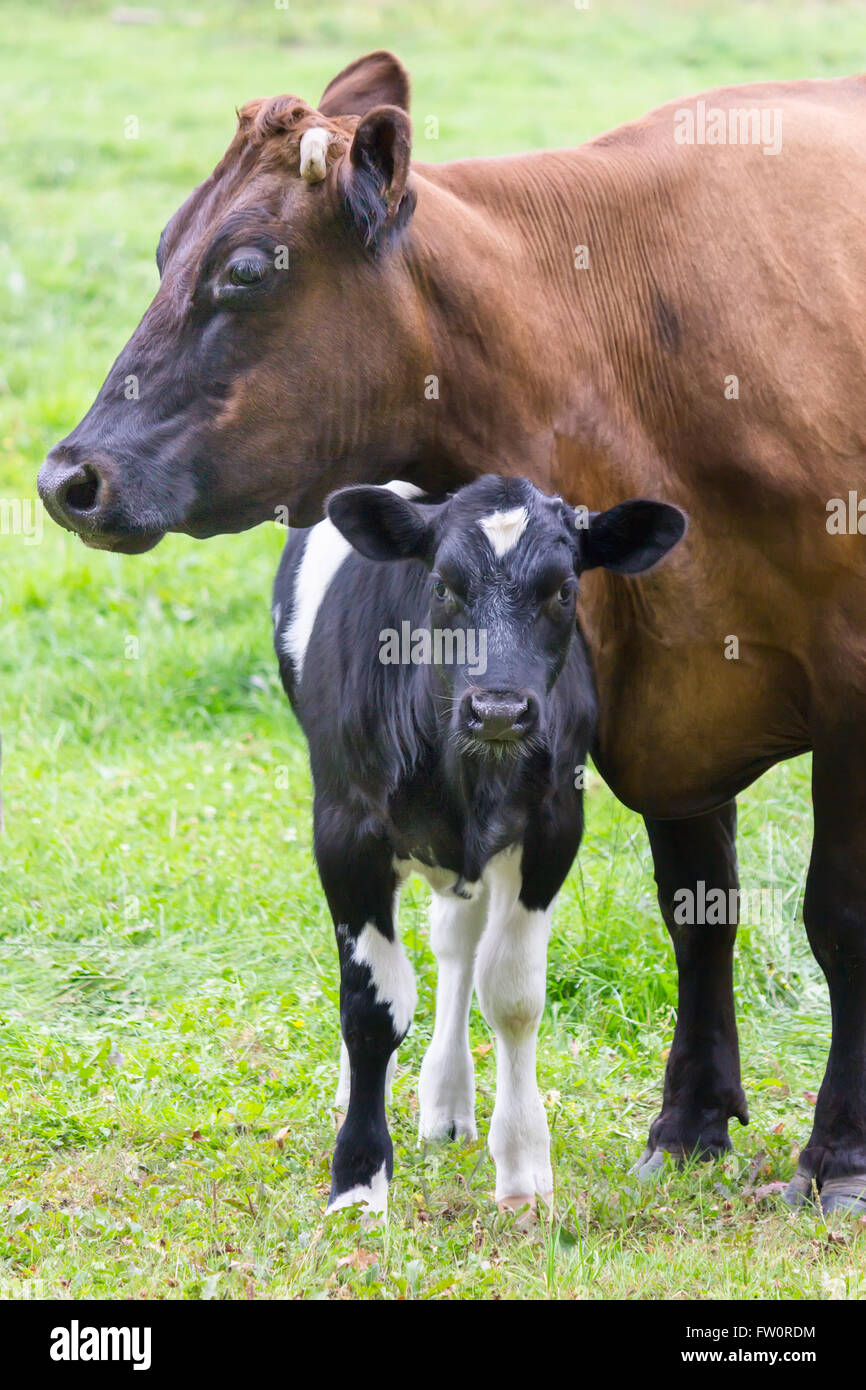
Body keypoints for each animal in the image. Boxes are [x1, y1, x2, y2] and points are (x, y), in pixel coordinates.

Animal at [273, 480, 686, 1217]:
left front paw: (522, 1167)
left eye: (564, 591)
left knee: (457, 944)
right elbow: (371, 1006)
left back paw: (446, 1103)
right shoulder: (344, 833)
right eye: (441, 586)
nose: (497, 709)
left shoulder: (554, 829)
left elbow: (513, 997)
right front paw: (358, 1179)